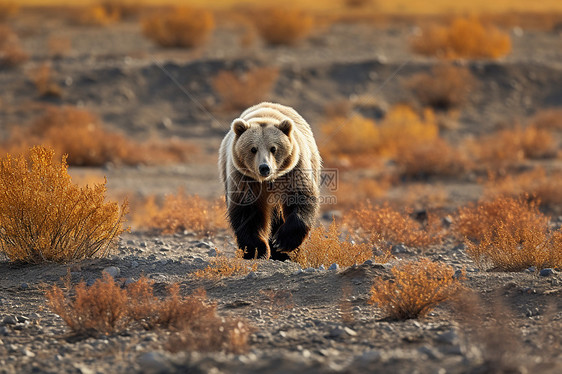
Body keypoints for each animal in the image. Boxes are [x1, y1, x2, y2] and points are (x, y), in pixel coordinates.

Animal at [221, 102, 322, 260]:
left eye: (273, 148)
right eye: (253, 149)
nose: (264, 168)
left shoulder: (294, 169)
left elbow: (301, 199)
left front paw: (282, 242)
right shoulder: (243, 178)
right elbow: (247, 211)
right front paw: (255, 249)